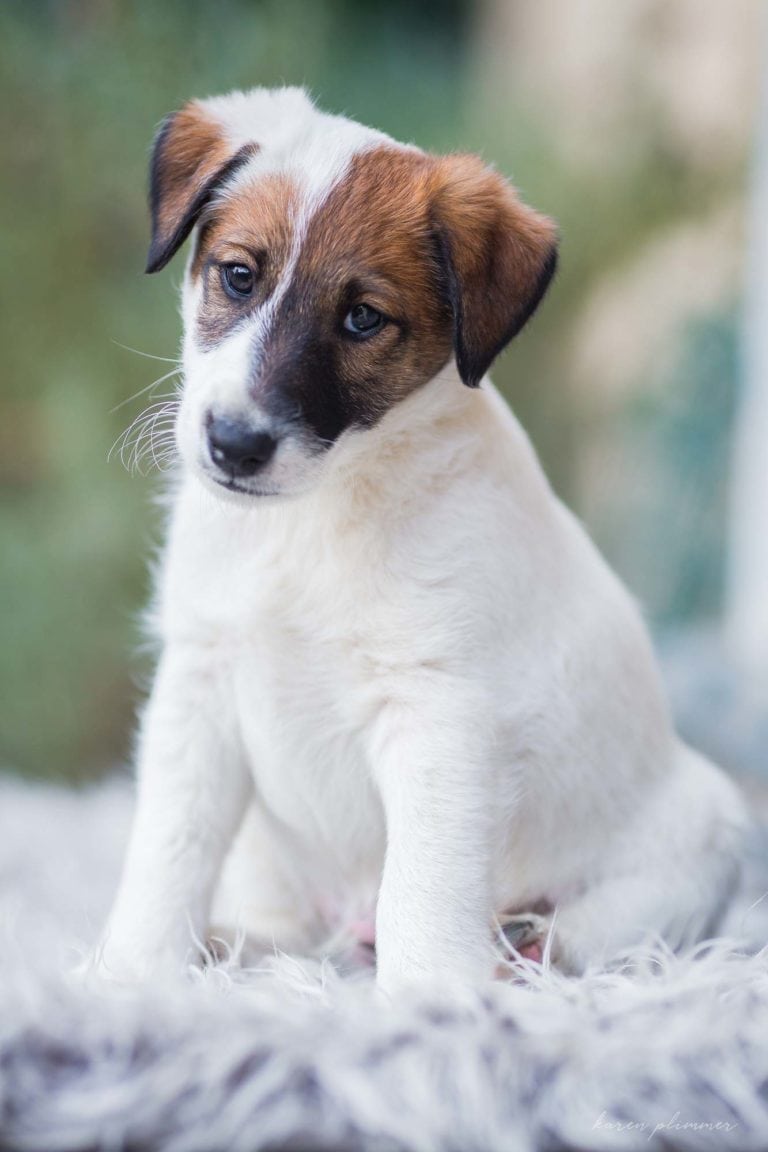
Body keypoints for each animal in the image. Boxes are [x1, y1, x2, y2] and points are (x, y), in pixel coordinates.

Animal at [100, 87, 746, 990]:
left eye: (363, 319)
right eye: (238, 275)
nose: (233, 444)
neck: (316, 516)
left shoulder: (441, 717)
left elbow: (421, 887)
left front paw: (433, 997)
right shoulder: (201, 683)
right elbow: (169, 851)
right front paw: (134, 969)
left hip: (698, 835)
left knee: (605, 930)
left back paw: (525, 945)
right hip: (273, 862)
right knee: (290, 934)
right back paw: (235, 945)